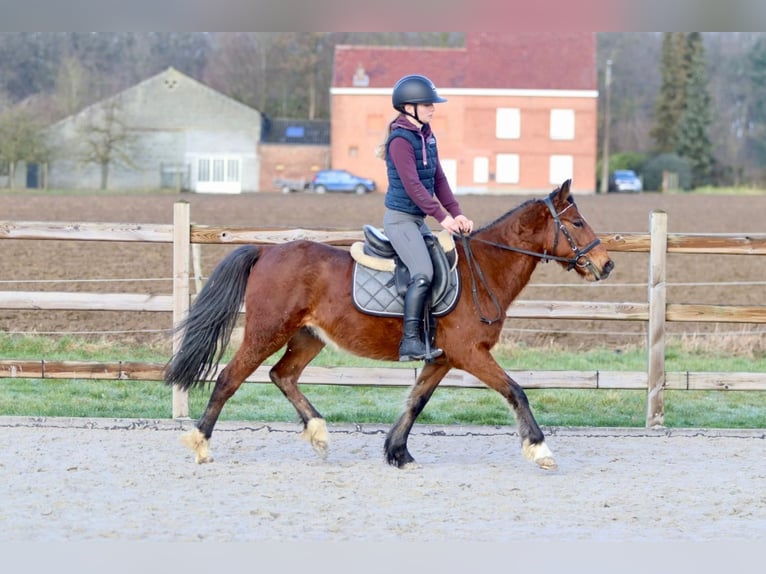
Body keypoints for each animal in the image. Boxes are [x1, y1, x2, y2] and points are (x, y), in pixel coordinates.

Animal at [164, 179, 614, 470]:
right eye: (576, 223)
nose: (606, 264)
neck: (483, 268)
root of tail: (265, 250)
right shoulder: (470, 354)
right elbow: (516, 391)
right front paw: (539, 448)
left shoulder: (443, 357)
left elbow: (417, 401)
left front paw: (397, 452)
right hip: (266, 332)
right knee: (230, 378)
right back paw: (201, 445)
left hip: (308, 338)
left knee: (283, 375)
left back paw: (319, 433)